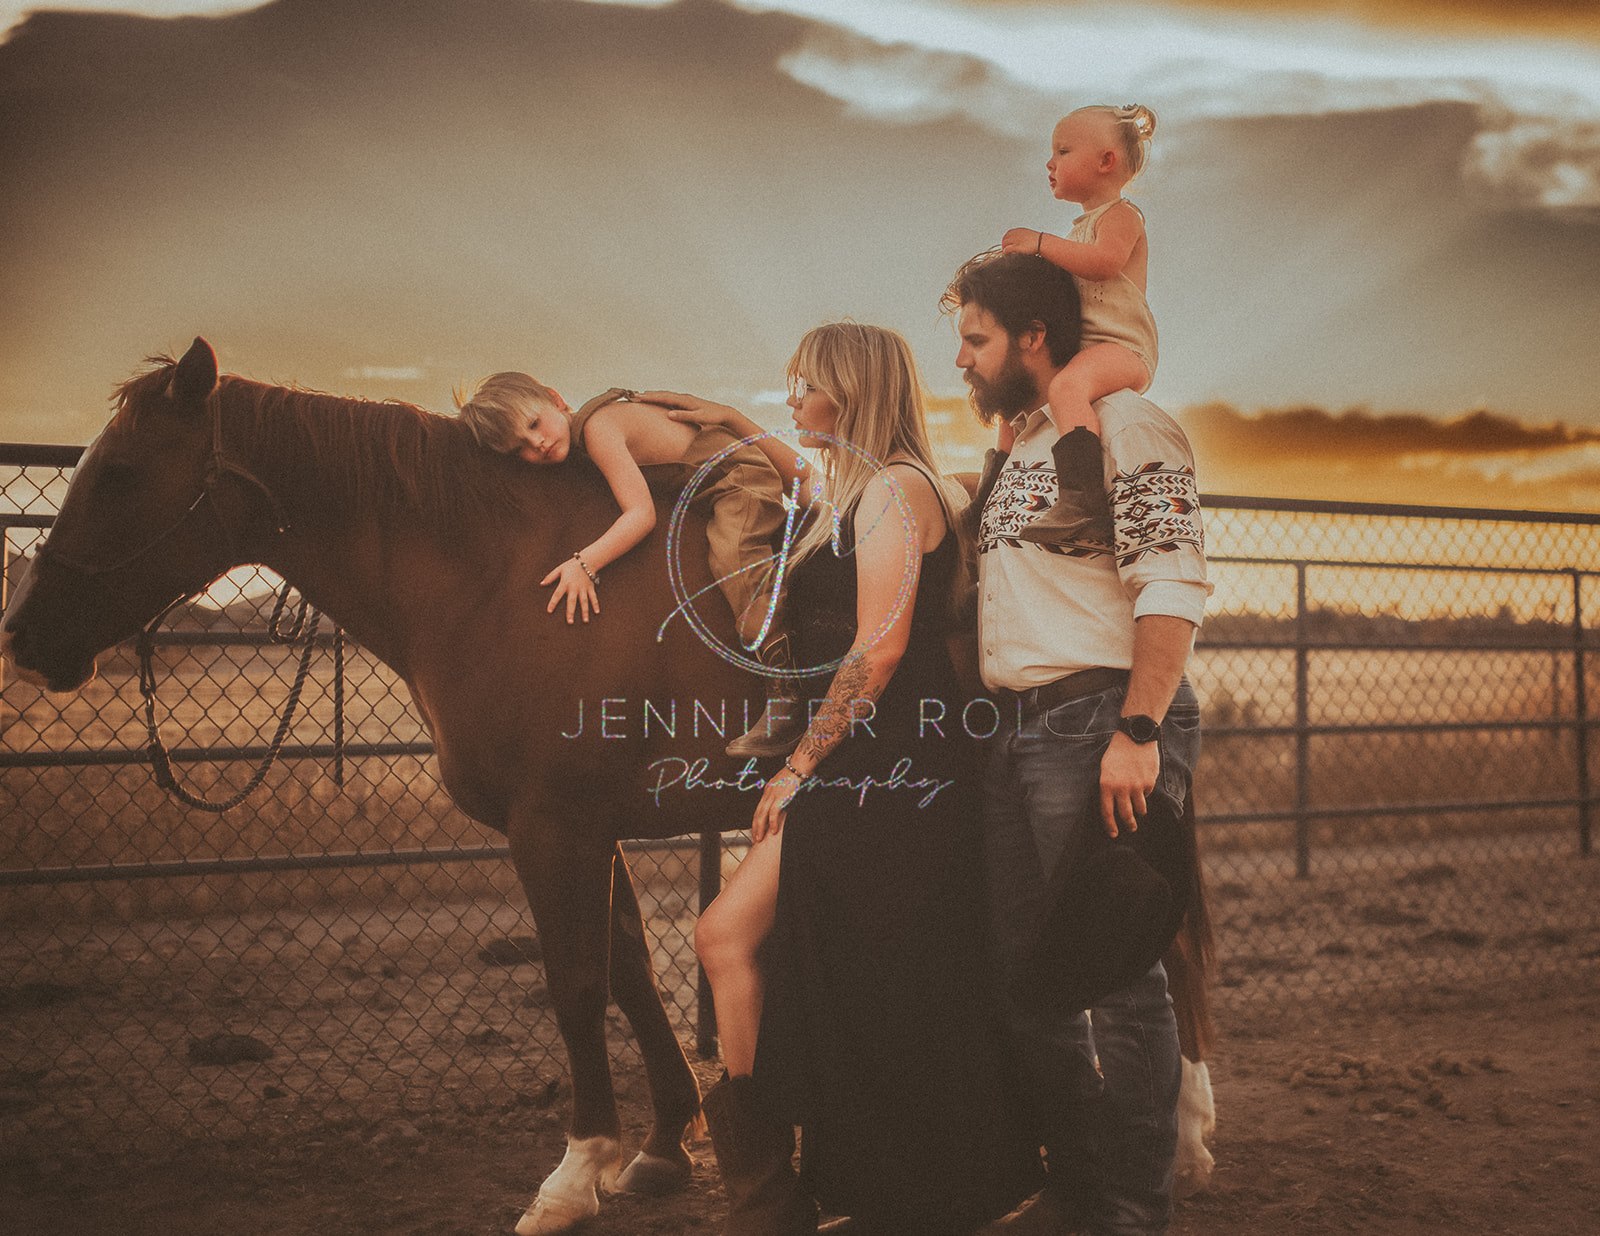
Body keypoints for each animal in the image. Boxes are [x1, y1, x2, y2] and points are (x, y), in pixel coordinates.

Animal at [0, 336, 1209, 1223]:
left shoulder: (553, 828)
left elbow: (578, 986)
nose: (26, 635)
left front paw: (576, 1171)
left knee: (1171, 941)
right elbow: (628, 969)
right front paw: (664, 1148)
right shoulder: (587, 827)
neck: (491, 574)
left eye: (119, 472)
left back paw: (1186, 1134)